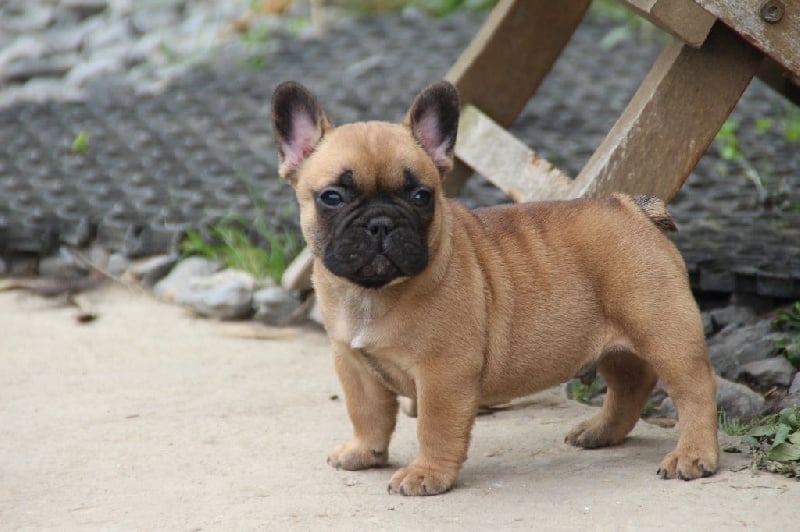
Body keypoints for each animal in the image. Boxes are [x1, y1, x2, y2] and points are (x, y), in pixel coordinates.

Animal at [268, 81, 720, 496]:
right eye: (331, 197)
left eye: (421, 196)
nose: (381, 222)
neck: (372, 292)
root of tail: (629, 208)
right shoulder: (353, 364)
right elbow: (366, 413)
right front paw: (364, 452)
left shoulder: (443, 373)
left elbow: (434, 427)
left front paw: (427, 474)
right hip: (614, 339)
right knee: (630, 383)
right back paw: (601, 431)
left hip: (665, 332)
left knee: (695, 390)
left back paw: (693, 455)